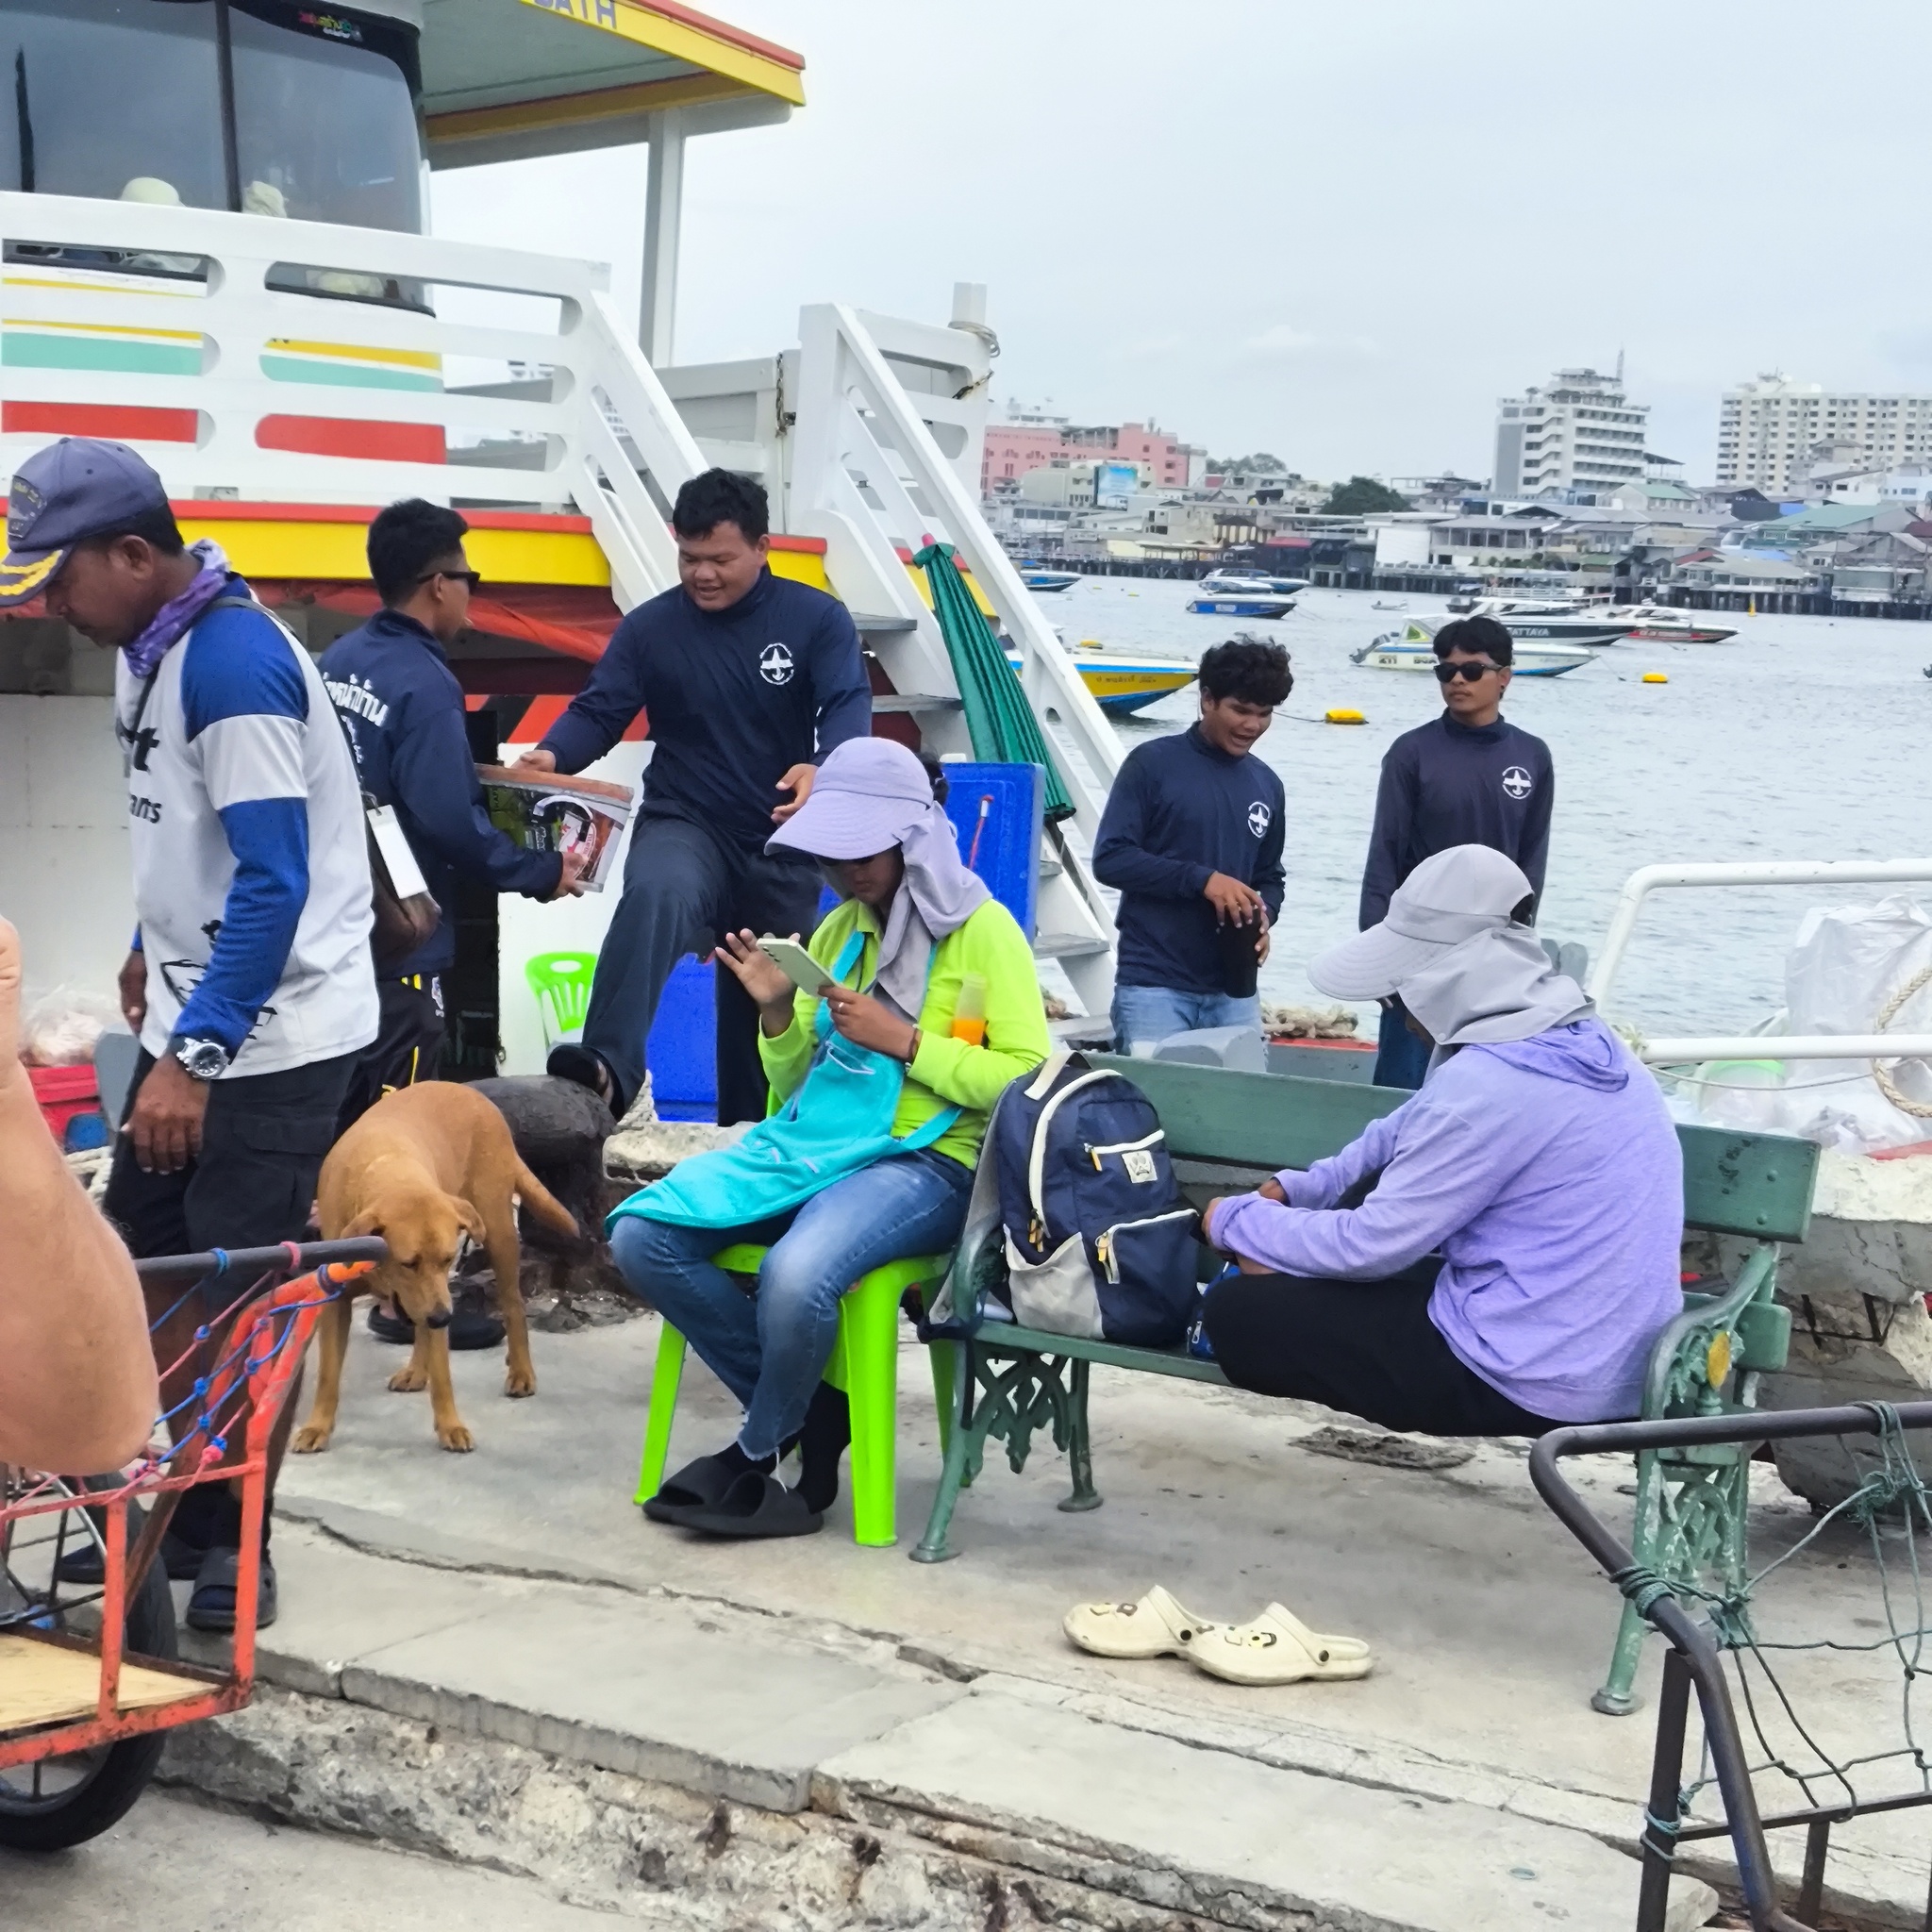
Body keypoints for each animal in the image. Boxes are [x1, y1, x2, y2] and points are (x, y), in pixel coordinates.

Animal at [293, 1090, 575, 1453]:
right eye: (408, 1263)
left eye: (448, 1259)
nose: (444, 1318)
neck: (389, 1169)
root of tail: (474, 1092)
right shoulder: (338, 1302)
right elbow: (328, 1372)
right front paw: (317, 1426)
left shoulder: (439, 1294)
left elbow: (443, 1374)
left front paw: (450, 1425)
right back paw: (416, 1370)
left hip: (497, 1231)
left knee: (513, 1305)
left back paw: (521, 1372)